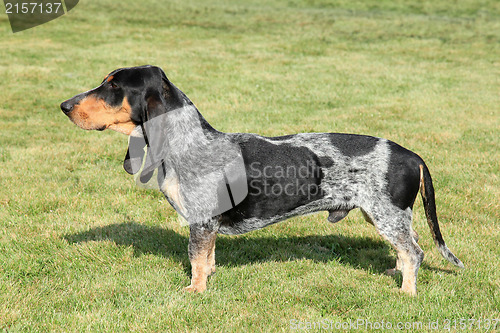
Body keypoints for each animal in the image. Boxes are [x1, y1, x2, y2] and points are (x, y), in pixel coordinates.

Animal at [60, 64, 462, 294]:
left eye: (113, 87)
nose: (63, 106)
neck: (187, 142)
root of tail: (412, 155)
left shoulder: (201, 222)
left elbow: (196, 260)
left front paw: (194, 293)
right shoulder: (207, 226)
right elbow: (208, 259)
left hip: (387, 216)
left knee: (415, 252)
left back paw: (406, 293)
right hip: (386, 217)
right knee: (407, 250)